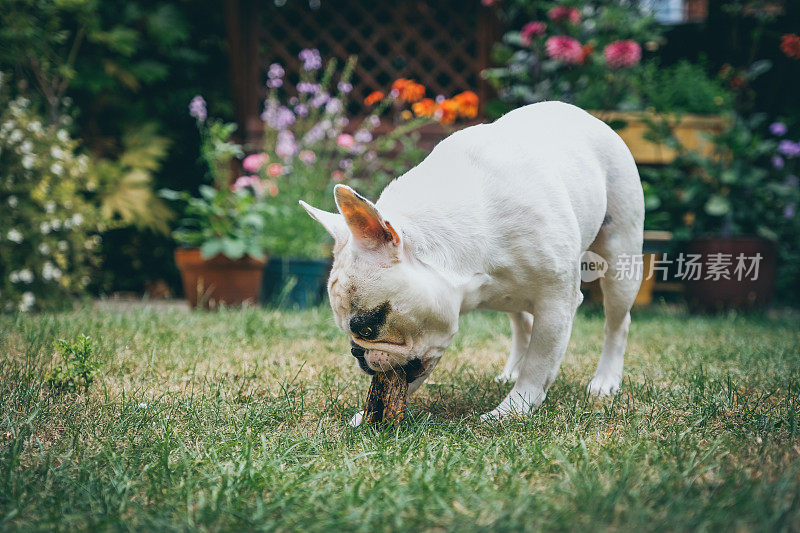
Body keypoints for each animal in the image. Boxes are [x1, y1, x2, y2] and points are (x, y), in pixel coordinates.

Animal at [300, 102, 644, 422]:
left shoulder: (556, 302)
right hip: (513, 298)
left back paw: (605, 380)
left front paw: (512, 410)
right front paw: (368, 413)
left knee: (617, 323)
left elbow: (540, 362)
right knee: (523, 323)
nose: (356, 351)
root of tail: (585, 115)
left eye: (368, 326)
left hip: (620, 260)